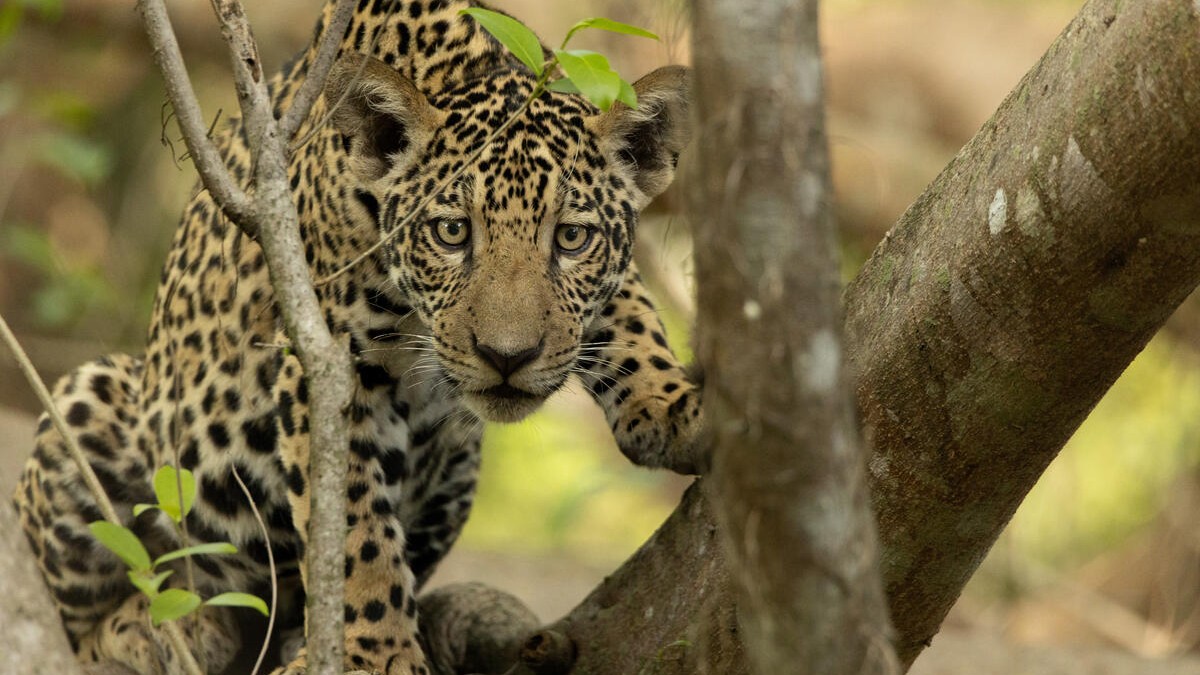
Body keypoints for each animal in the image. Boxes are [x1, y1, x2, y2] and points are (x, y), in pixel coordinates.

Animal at [13, 1, 705, 673]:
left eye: (571, 238)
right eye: (452, 232)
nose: (506, 357)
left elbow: (631, 313)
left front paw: (677, 409)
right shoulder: (326, 365)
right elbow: (354, 526)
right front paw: (376, 653)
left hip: (459, 467)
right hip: (91, 407)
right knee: (81, 623)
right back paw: (165, 629)